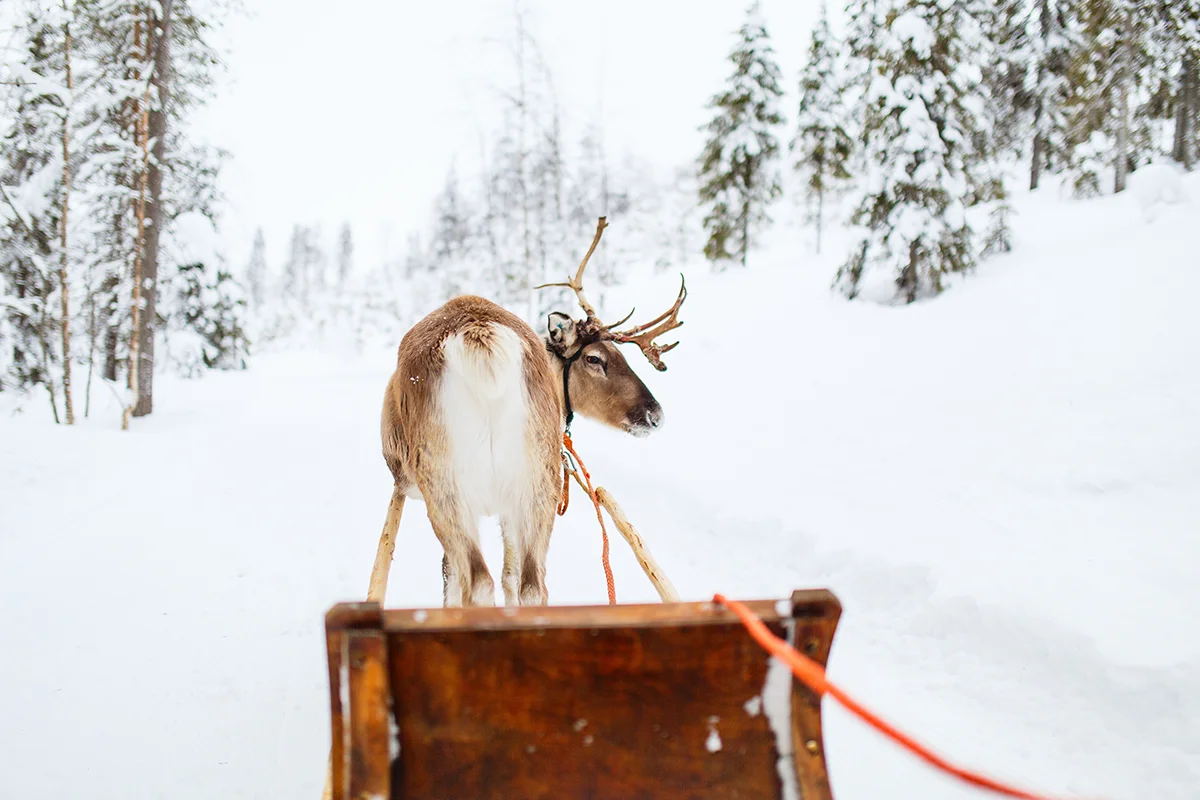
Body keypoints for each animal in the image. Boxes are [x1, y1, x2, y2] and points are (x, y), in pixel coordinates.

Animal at [371, 218, 687, 609]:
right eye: (595, 358)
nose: (654, 413)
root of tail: (481, 336)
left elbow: (455, 579)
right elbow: (510, 575)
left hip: (447, 485)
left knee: (478, 582)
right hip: (537, 484)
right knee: (533, 586)